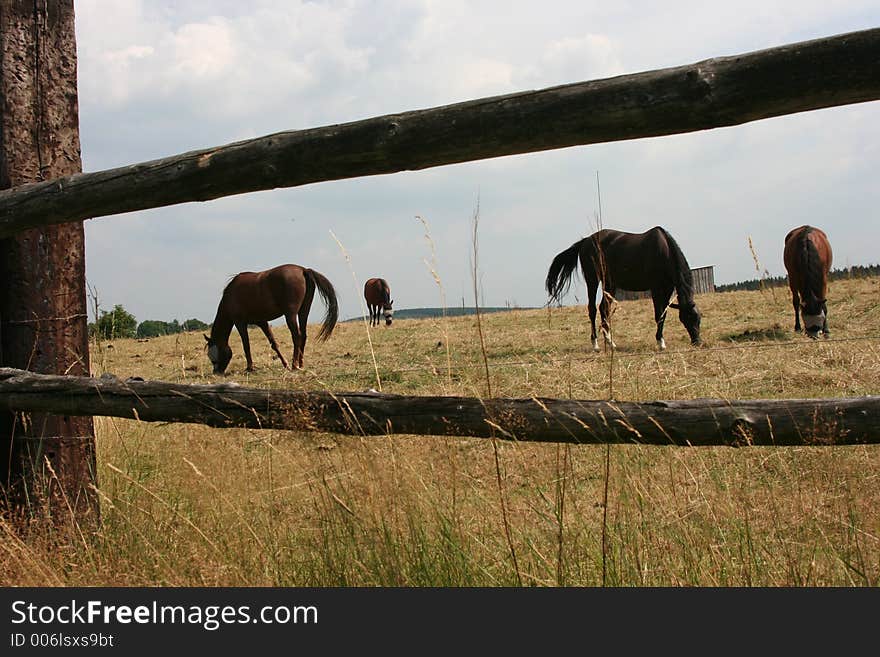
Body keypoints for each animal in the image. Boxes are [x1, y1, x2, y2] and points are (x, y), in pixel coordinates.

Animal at [205, 262, 338, 374]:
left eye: (213, 357)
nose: (216, 372)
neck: (230, 296)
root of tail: (303, 270)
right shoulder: (262, 322)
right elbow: (273, 343)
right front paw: (285, 364)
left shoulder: (240, 323)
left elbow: (246, 345)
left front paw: (250, 368)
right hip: (303, 312)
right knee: (304, 335)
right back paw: (300, 364)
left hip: (290, 315)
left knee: (297, 336)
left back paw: (294, 365)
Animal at [548, 226, 704, 352]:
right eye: (686, 318)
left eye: (698, 318)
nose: (697, 342)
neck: (663, 251)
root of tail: (586, 241)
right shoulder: (656, 289)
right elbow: (659, 315)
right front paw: (660, 342)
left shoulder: (668, 288)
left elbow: (663, 314)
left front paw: (661, 341)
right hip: (592, 280)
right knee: (592, 309)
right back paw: (596, 344)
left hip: (609, 284)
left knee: (604, 308)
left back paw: (610, 342)